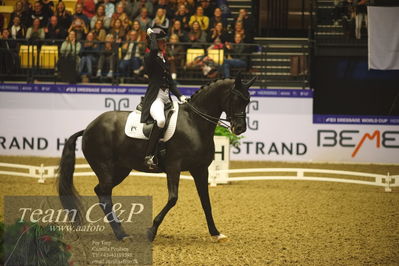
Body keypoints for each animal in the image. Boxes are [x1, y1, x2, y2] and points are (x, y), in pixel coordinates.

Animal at [56, 76, 256, 242]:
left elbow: (206, 202)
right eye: (236, 99)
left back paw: (121, 232)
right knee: (104, 196)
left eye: (248, 101)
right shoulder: (174, 167)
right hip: (105, 168)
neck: (194, 123)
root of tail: (89, 127)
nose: (240, 128)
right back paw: (122, 235)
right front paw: (151, 231)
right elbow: (173, 199)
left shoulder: (200, 169)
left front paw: (216, 233)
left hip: (121, 170)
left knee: (101, 192)